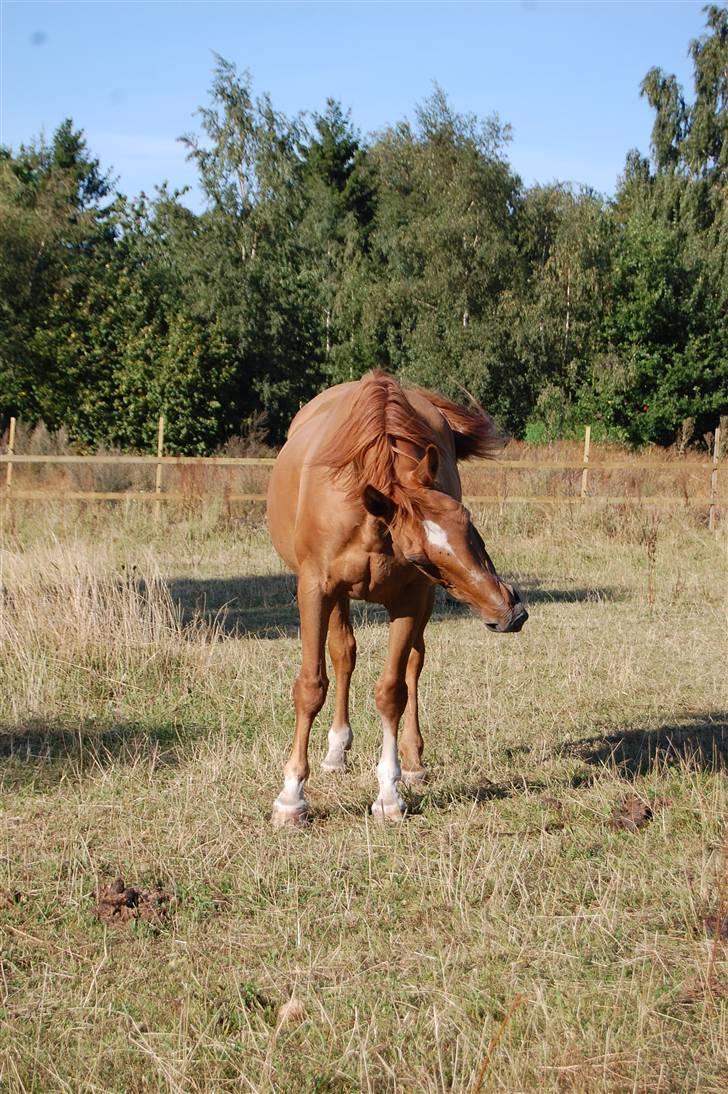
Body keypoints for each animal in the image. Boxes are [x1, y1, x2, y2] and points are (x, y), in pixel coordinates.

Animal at [263, 371, 525, 822]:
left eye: (467, 519)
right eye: (421, 556)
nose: (511, 613)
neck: (370, 523)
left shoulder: (409, 599)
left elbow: (392, 692)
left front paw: (389, 793)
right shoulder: (316, 589)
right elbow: (312, 685)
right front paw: (292, 797)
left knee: (413, 665)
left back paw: (413, 762)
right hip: (339, 598)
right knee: (344, 655)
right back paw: (336, 751)